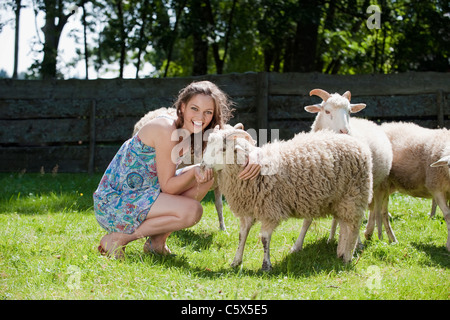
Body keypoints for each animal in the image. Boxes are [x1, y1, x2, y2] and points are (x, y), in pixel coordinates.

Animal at [200, 125, 372, 270]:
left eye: (223, 149)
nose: (202, 166)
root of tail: (360, 145)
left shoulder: (270, 211)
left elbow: (264, 238)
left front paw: (266, 265)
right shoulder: (248, 210)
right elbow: (241, 236)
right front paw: (236, 261)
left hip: (354, 195)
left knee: (353, 227)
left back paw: (347, 257)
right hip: (340, 200)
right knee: (344, 225)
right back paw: (341, 252)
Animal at [300, 89, 396, 244]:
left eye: (349, 111)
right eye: (327, 111)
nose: (344, 131)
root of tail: (365, 120)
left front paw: (358, 243)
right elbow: (307, 221)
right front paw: (297, 245)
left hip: (376, 183)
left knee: (375, 209)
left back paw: (375, 233)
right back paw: (333, 237)